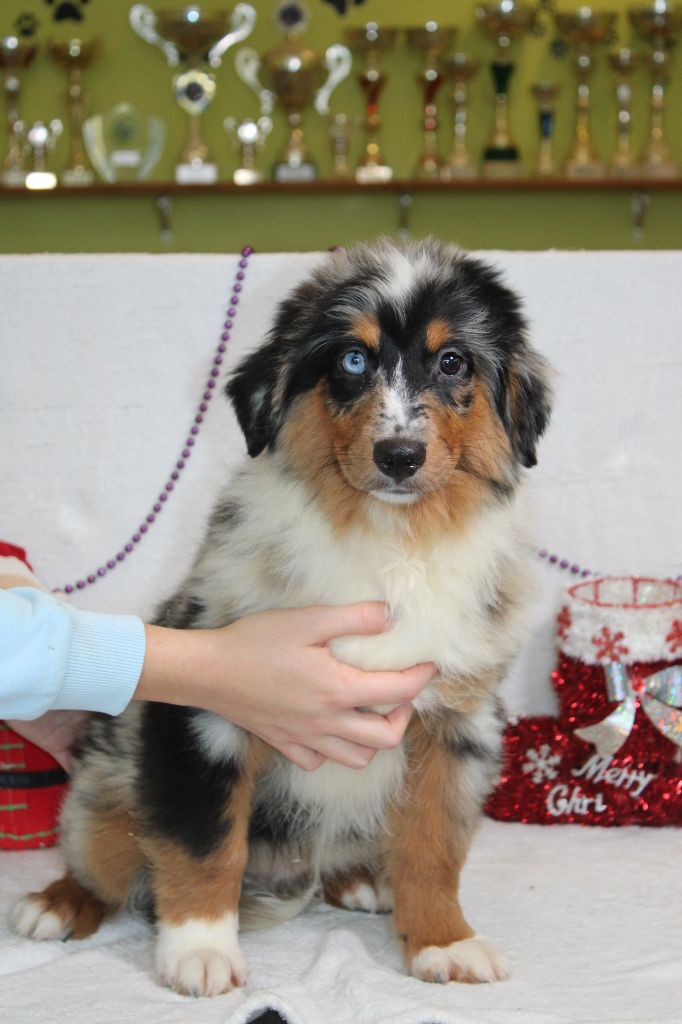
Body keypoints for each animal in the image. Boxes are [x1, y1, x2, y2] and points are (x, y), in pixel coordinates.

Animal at [13, 237, 548, 991]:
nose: (400, 456)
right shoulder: (204, 711)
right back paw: (58, 903)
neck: (389, 539)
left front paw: (444, 940)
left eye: (452, 361)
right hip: (107, 783)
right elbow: (205, 838)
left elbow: (433, 845)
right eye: (352, 359)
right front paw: (201, 950)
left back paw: (359, 880)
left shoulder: (458, 722)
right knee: (104, 851)